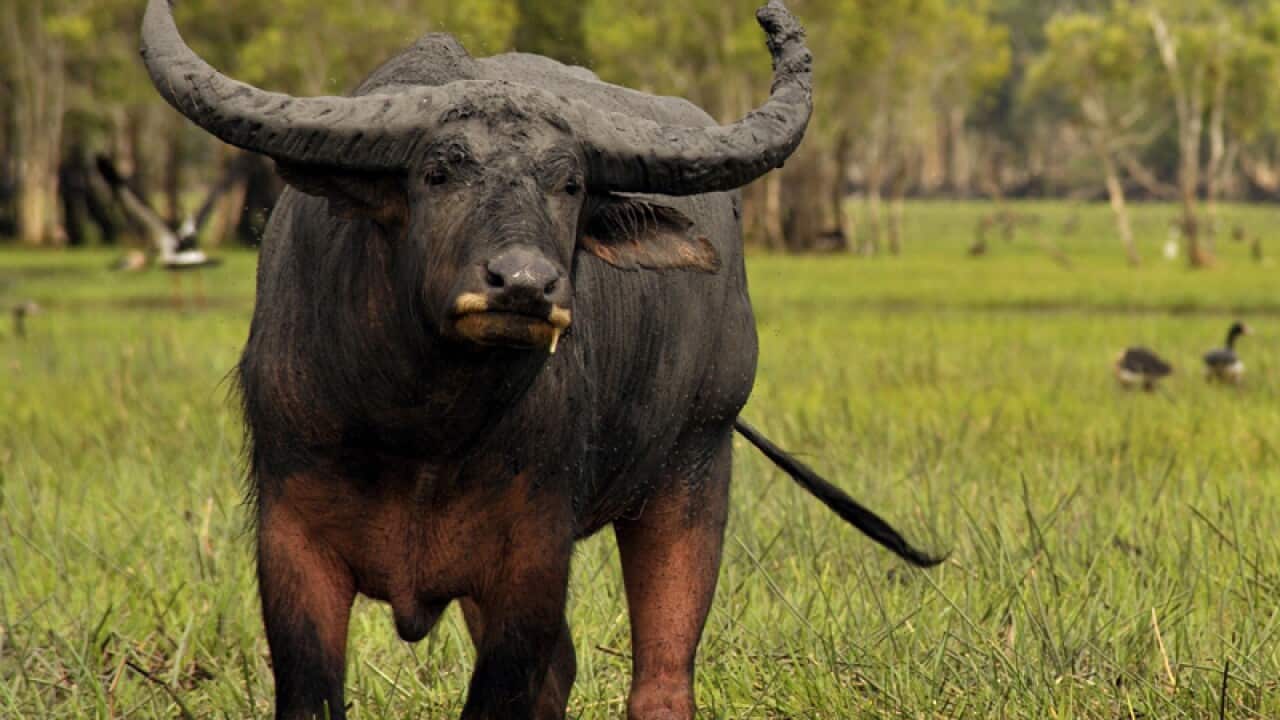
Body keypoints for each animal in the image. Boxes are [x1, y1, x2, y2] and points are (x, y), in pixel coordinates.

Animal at [140, 1, 939, 718]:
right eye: (438, 172)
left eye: (571, 183)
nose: (523, 284)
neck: (420, 427)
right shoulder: (292, 544)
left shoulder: (530, 559)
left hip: (696, 463)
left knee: (661, 678)